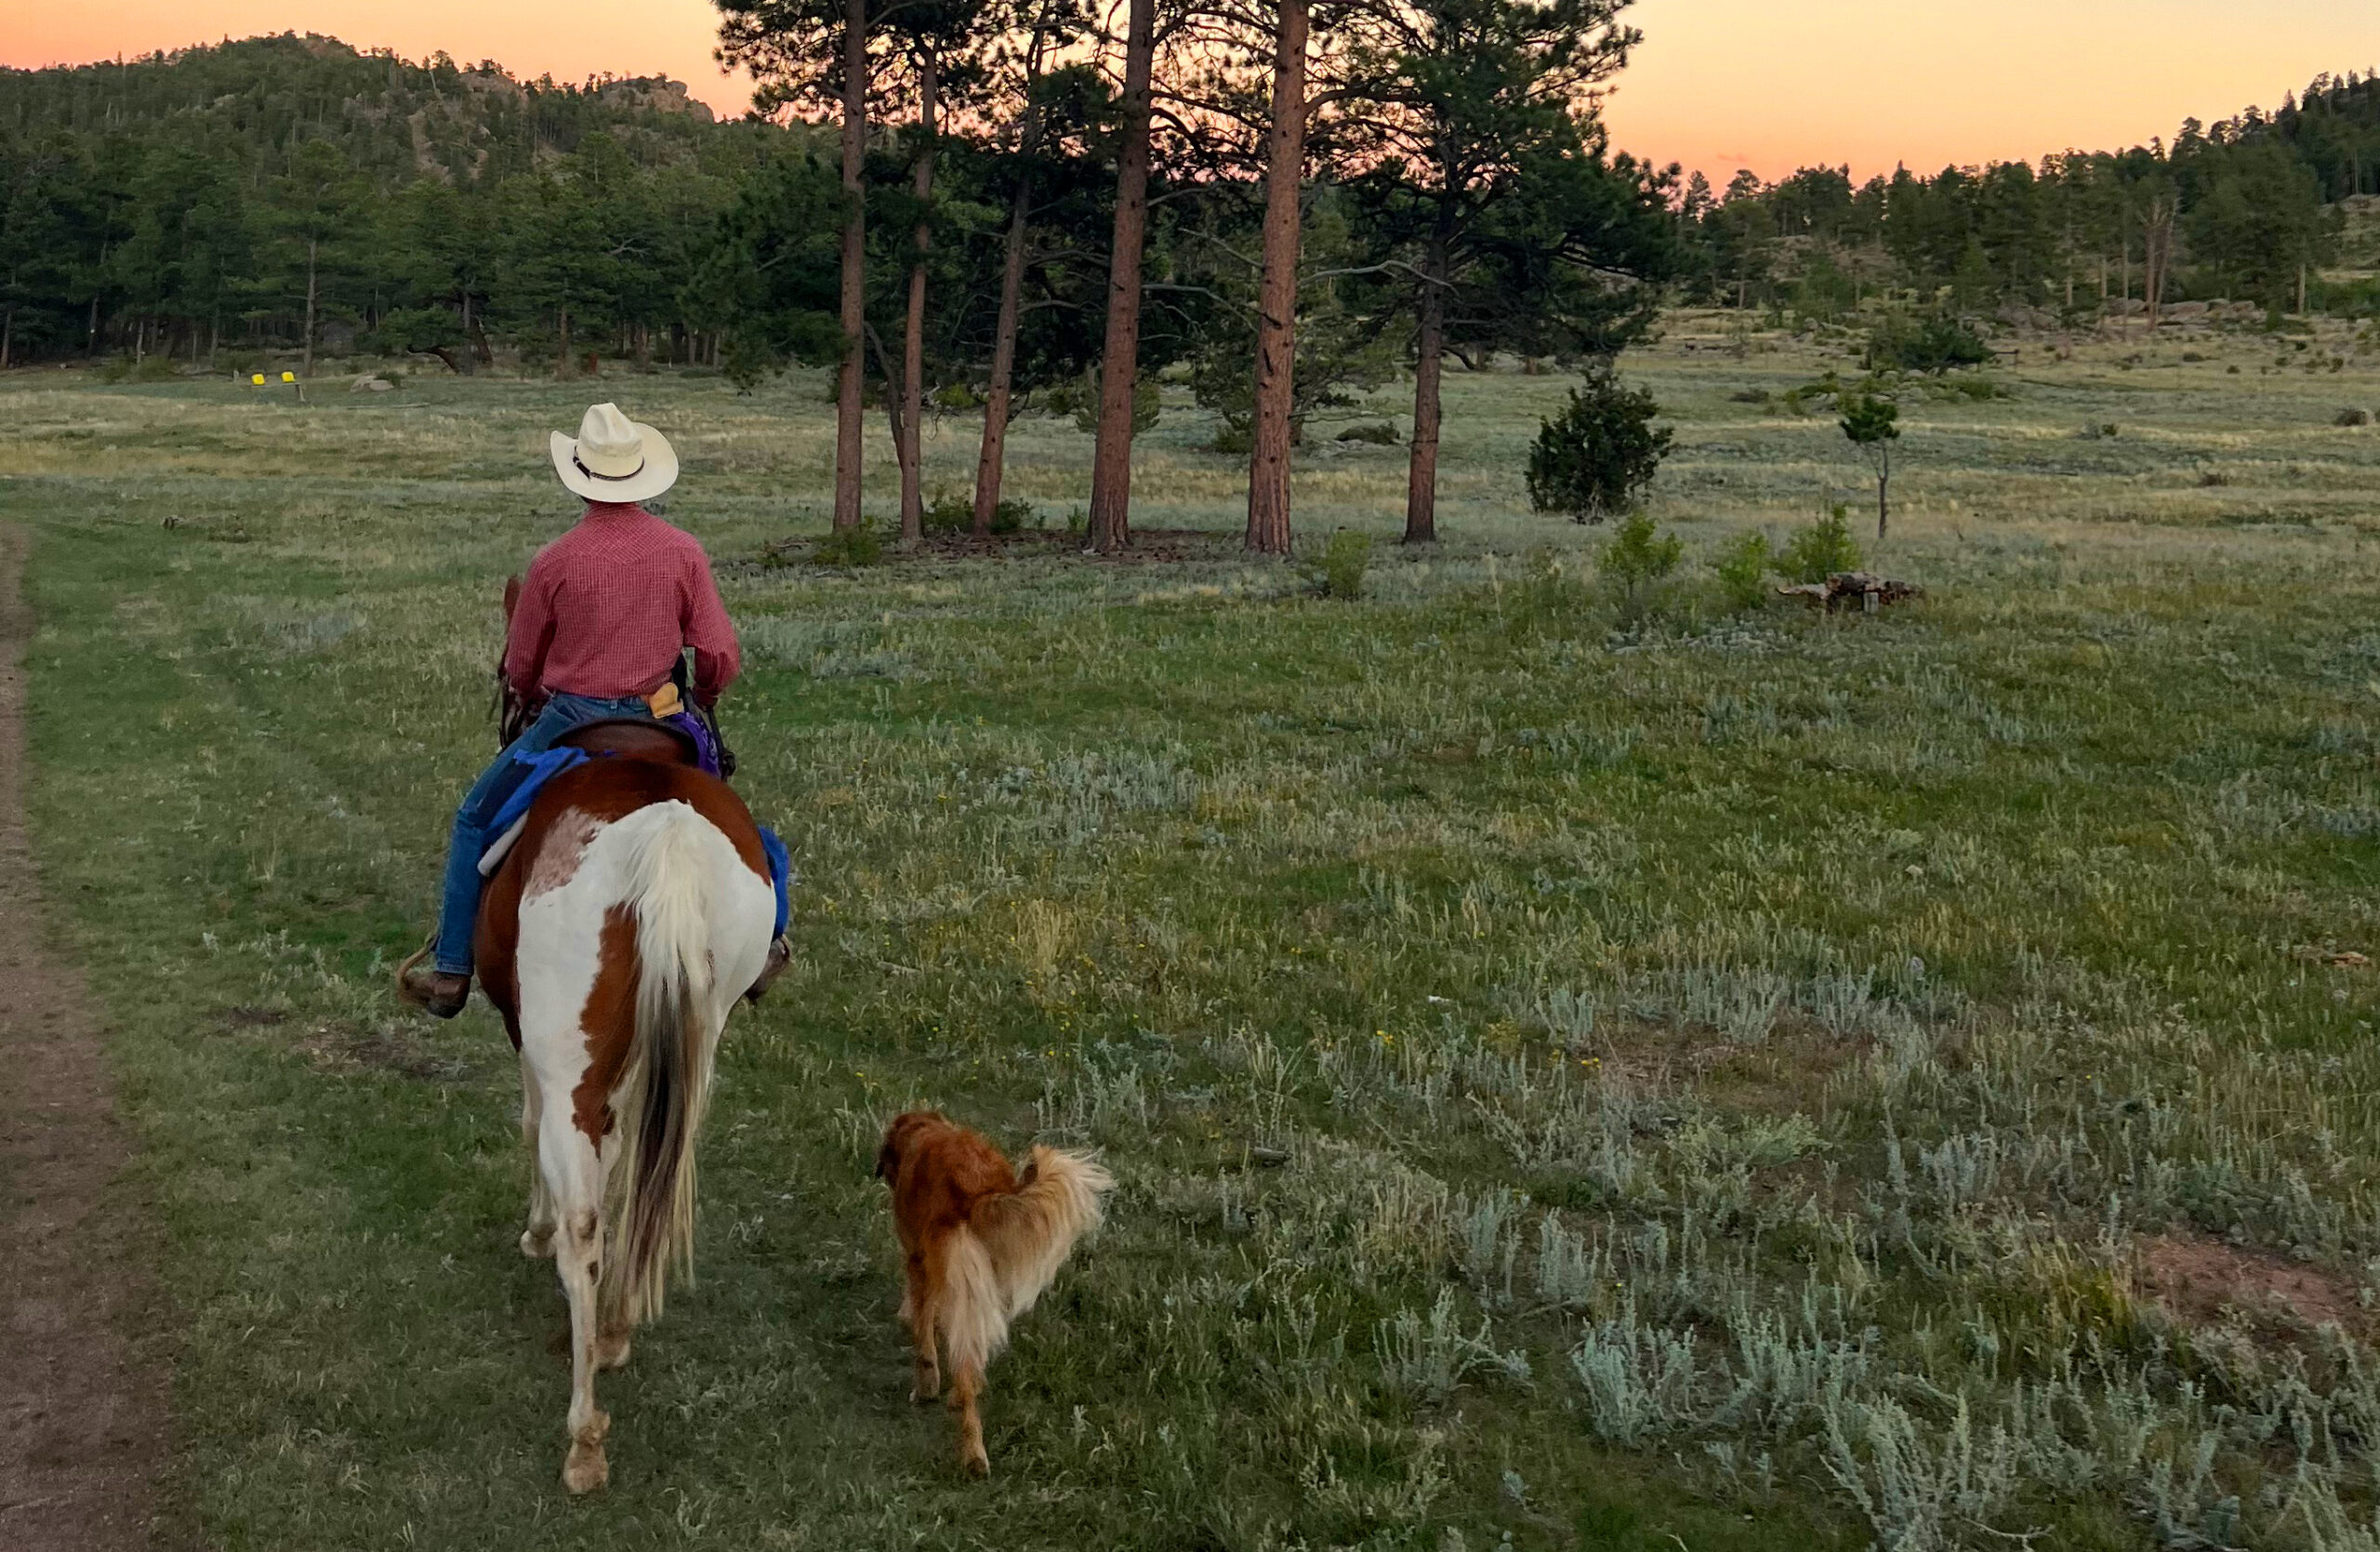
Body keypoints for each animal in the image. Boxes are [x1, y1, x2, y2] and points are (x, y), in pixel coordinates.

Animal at [473, 728, 780, 1494]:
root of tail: (665, 843)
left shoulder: (529, 1042)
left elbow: (534, 1130)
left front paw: (534, 1231)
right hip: (697, 1034)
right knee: (651, 1177)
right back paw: (613, 1329)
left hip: (569, 1065)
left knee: (584, 1220)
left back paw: (584, 1435)